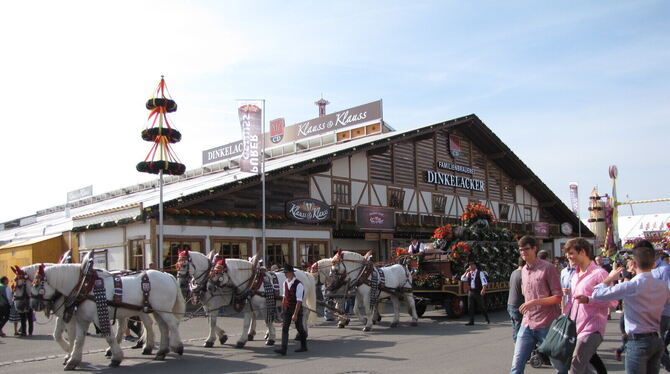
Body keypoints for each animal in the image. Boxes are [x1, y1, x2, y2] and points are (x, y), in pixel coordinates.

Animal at [30, 264, 185, 370]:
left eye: (37, 284)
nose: (33, 305)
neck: (84, 286)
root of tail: (167, 275)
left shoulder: (98, 318)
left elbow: (109, 336)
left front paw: (116, 358)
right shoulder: (82, 320)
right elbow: (79, 341)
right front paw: (72, 361)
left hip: (163, 309)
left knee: (171, 324)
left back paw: (176, 346)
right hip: (156, 310)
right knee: (163, 327)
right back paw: (161, 351)